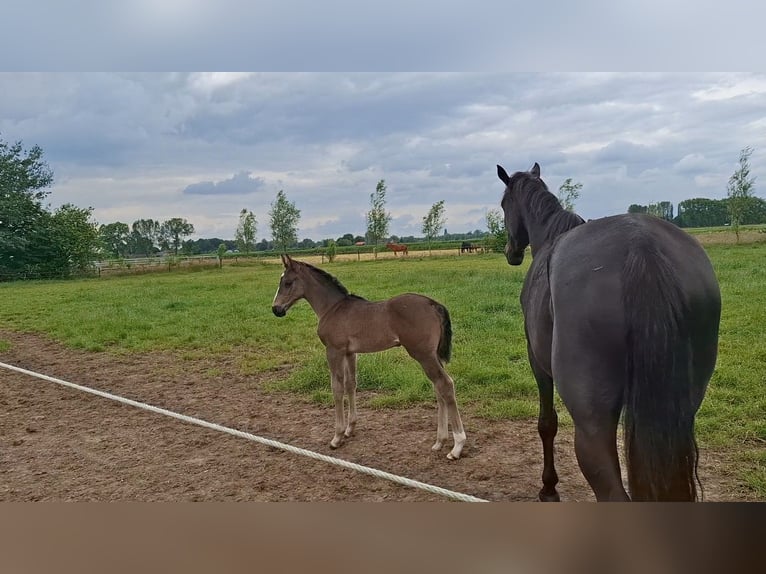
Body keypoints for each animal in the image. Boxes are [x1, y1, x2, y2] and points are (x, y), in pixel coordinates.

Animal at [274, 254, 468, 462]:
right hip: (433, 356)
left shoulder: (334, 350)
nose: (276, 309)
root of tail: (433, 304)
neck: (332, 308)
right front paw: (350, 429)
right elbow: (351, 384)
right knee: (438, 388)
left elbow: (337, 388)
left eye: (287, 282)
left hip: (423, 355)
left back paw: (457, 446)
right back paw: (440, 441)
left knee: (445, 385)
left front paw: (337, 437)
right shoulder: (350, 353)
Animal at [500, 163, 724, 504]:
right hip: (681, 410)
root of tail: (641, 247)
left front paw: (549, 488)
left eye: (503, 205)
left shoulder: (537, 363)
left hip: (592, 425)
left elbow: (547, 424)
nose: (510, 252)